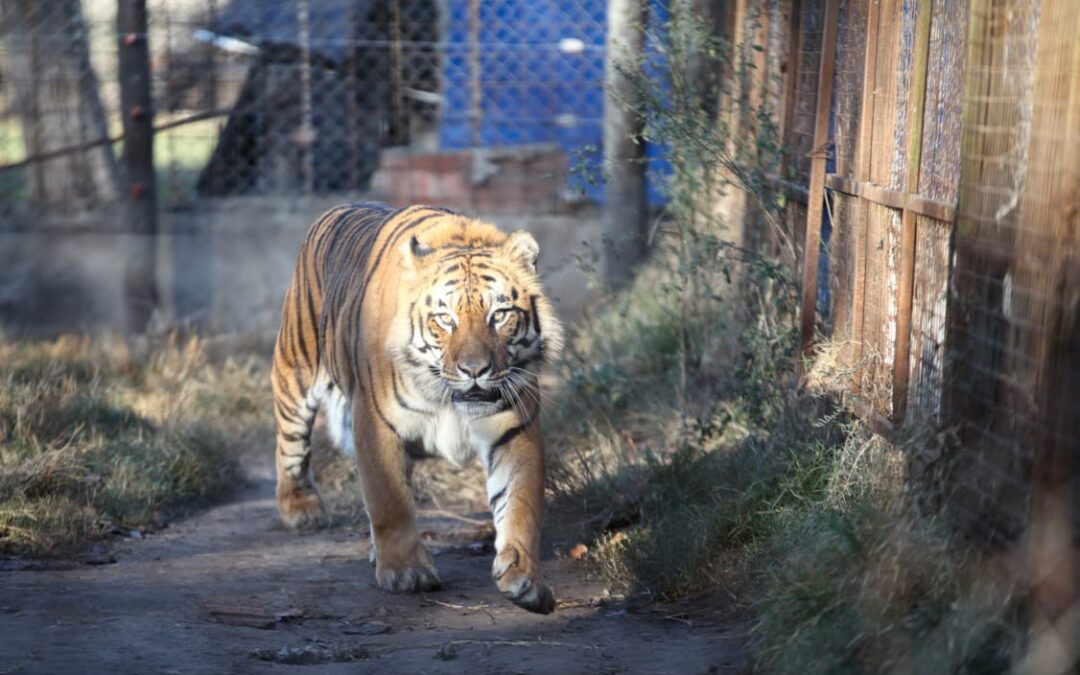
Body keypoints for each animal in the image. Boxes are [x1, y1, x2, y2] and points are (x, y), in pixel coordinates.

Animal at [271, 202, 563, 614]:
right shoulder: (374, 425)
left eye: (500, 315)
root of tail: (338, 207)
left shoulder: (514, 432)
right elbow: (389, 503)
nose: (475, 370)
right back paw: (301, 510)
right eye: (445, 319)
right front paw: (407, 573)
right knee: (290, 447)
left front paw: (525, 579)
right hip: (295, 374)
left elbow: (520, 506)